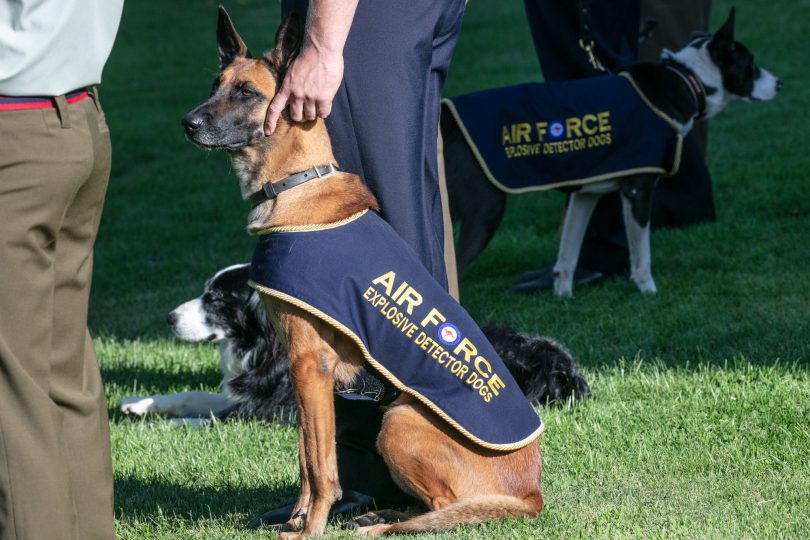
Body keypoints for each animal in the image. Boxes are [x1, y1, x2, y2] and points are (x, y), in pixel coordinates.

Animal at [118, 264, 588, 424]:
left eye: (215, 299)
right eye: (204, 292)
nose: (168, 318)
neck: (265, 342)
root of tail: (560, 363)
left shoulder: (272, 410)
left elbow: (214, 417)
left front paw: (165, 425)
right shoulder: (248, 391)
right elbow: (194, 396)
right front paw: (138, 405)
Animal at [180, 8, 540, 536]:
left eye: (246, 92)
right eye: (215, 84)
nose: (187, 123)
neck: (298, 186)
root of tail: (531, 494)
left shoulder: (311, 364)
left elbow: (320, 465)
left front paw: (311, 527)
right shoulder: (306, 372)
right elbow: (306, 458)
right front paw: (297, 519)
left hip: (399, 422)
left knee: (444, 511)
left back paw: (380, 524)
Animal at [446, 8, 780, 296]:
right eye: (751, 64)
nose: (780, 83)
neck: (686, 80)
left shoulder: (585, 194)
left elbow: (568, 255)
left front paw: (563, 296)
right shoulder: (638, 190)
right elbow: (641, 254)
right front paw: (648, 291)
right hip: (486, 211)